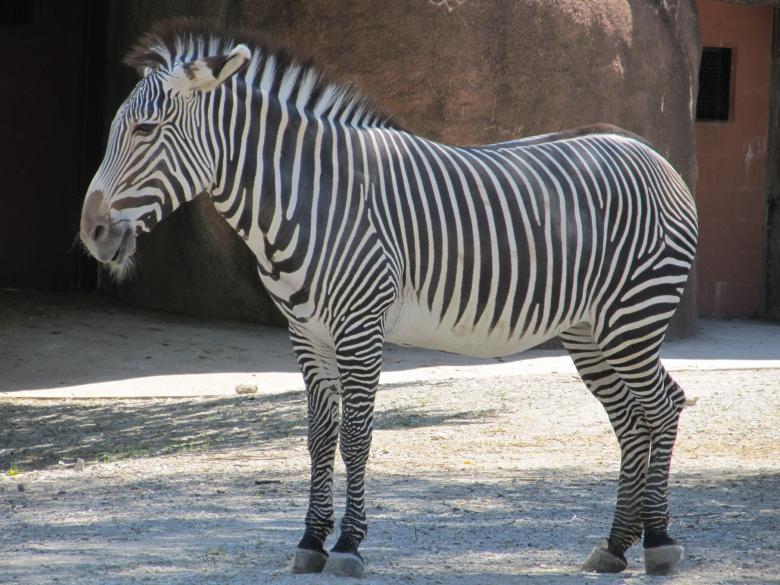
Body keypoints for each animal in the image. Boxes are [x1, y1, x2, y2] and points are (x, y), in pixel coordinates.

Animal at [79, 20, 698, 578]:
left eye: (146, 130)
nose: (92, 234)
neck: (311, 200)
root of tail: (646, 149)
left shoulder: (359, 327)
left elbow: (355, 437)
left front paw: (348, 546)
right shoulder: (306, 333)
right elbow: (318, 438)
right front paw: (310, 541)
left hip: (633, 317)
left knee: (663, 405)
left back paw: (659, 543)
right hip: (590, 331)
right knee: (631, 419)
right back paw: (615, 547)